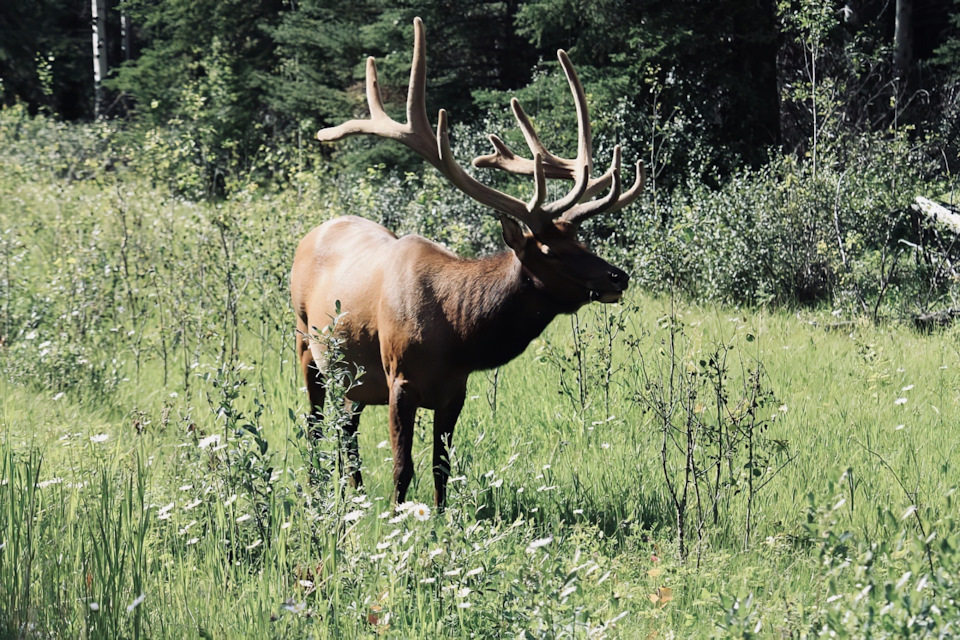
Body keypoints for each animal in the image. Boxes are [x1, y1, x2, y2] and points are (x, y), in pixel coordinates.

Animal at [288, 17, 640, 508]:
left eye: (582, 240)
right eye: (551, 251)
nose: (617, 276)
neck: (456, 332)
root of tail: (312, 233)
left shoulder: (455, 389)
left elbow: (442, 467)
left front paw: (439, 517)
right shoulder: (399, 380)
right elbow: (403, 467)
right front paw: (398, 517)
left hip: (349, 375)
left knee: (346, 428)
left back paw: (354, 494)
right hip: (304, 342)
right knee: (316, 423)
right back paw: (318, 489)